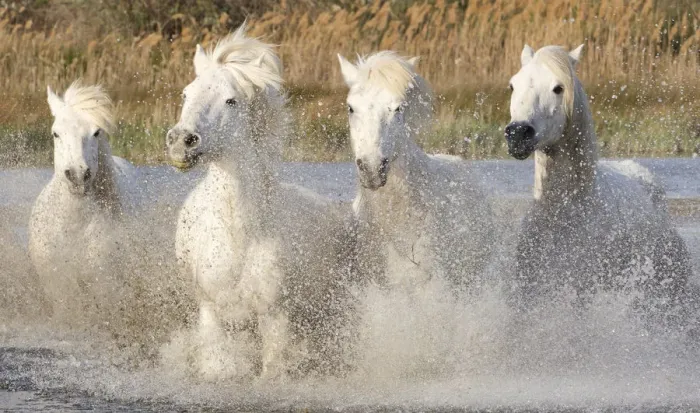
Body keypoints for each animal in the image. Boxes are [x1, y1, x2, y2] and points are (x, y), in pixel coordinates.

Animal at [28, 81, 139, 328]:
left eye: (96, 132)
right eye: (56, 133)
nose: (78, 176)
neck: (74, 225)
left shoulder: (105, 285)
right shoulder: (59, 286)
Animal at [166, 24, 355, 381]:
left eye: (231, 100)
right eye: (186, 93)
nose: (182, 142)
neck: (240, 234)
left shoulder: (274, 316)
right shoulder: (212, 312)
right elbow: (219, 368)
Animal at [504, 44, 693, 330]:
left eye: (558, 88)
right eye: (513, 85)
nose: (517, 134)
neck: (563, 214)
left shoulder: (582, 295)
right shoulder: (529, 291)